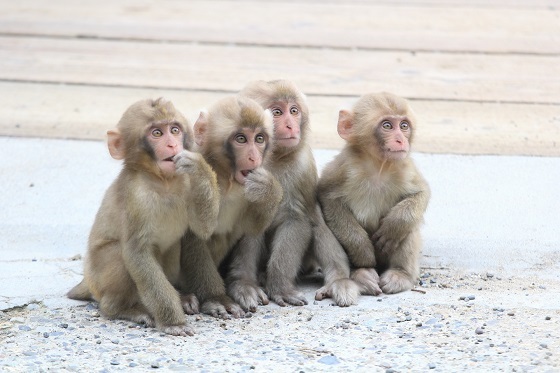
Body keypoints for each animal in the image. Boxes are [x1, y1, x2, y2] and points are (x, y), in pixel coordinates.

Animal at [66, 97, 220, 336]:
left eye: (174, 130)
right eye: (156, 133)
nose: (172, 145)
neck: (163, 182)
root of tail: (87, 280)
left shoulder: (185, 180)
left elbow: (202, 228)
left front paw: (198, 166)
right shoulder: (135, 198)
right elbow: (137, 252)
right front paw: (173, 323)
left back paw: (181, 298)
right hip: (99, 279)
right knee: (119, 254)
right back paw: (122, 309)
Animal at [178, 94, 284, 318]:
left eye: (259, 139)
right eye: (241, 139)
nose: (254, 157)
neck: (226, 178)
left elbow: (252, 227)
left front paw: (267, 188)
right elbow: (196, 233)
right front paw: (216, 298)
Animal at [226, 80, 360, 310]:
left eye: (294, 111)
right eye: (277, 112)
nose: (291, 125)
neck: (273, 156)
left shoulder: (302, 166)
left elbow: (295, 219)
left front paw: (280, 288)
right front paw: (244, 284)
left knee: (317, 222)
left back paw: (338, 280)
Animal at [318, 92, 430, 294]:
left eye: (404, 126)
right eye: (387, 126)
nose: (401, 140)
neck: (378, 166)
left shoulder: (404, 167)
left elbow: (421, 192)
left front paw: (394, 226)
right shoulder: (343, 167)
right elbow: (327, 197)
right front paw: (362, 251)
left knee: (410, 227)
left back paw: (400, 274)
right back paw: (362, 273)